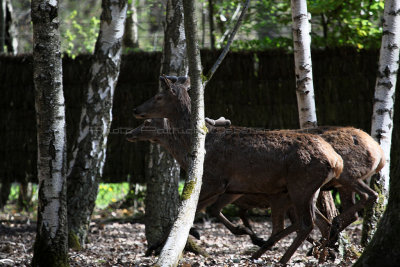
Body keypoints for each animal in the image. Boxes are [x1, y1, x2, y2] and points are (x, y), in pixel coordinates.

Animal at [130, 76, 342, 266]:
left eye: (158, 96)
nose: (136, 110)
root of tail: (335, 160)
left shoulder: (215, 180)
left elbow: (186, 212)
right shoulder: (230, 187)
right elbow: (202, 210)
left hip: (300, 185)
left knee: (306, 223)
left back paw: (281, 259)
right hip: (307, 189)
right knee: (323, 222)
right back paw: (321, 256)